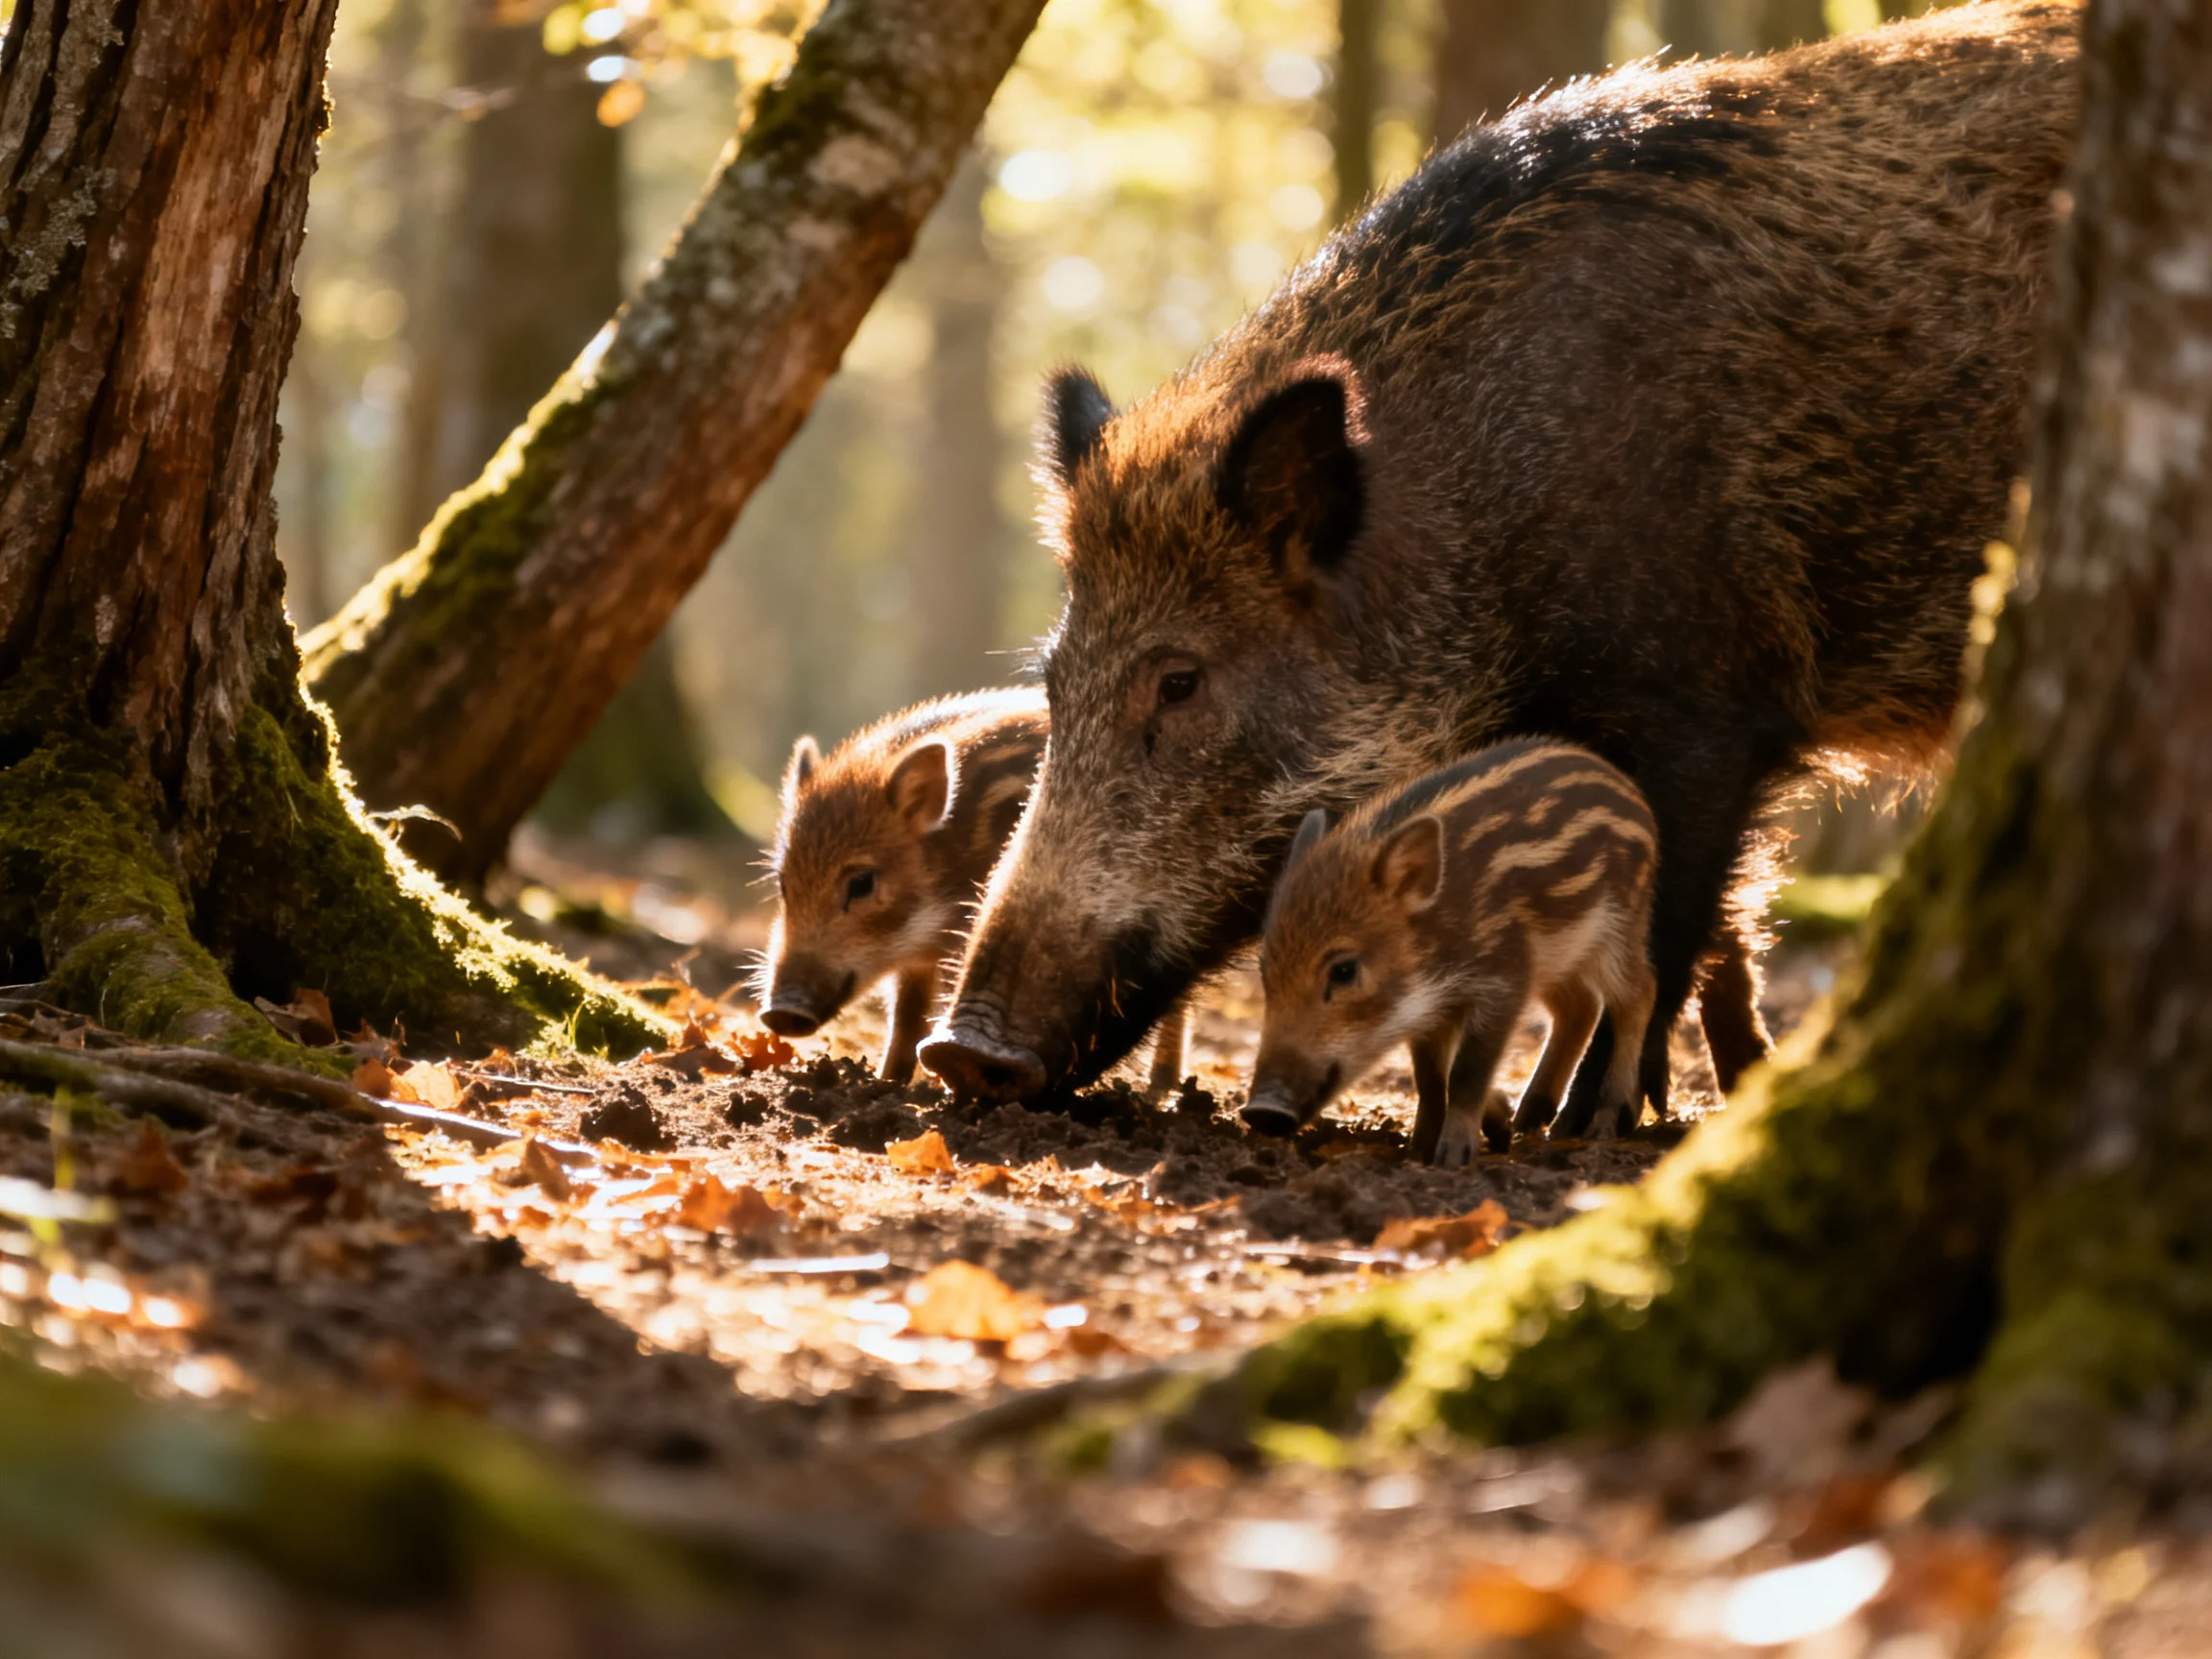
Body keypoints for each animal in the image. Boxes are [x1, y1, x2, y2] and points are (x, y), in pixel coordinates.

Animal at [759, 688, 1189, 1089]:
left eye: (862, 882)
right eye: (784, 884)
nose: (780, 1011)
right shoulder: (919, 960)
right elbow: (907, 1017)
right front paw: (887, 1082)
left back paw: (1163, 1088)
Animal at [920, 3, 2076, 1116]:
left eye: (1180, 679)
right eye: (1052, 682)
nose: (963, 1052)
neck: (1483, 519)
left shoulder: (1712, 708)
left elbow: (1672, 926)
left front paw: (1575, 1123)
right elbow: (1722, 939)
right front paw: (1718, 1093)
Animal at [1247, 741, 1659, 1165]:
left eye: (1344, 970)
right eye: (1265, 971)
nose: (1261, 1111)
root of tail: (1630, 791)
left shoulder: (1502, 979)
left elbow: (1467, 1070)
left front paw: (1452, 1157)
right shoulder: (1435, 1005)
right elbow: (1430, 1076)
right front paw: (1420, 1150)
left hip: (1621, 927)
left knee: (1638, 994)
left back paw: (1605, 1124)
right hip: (1561, 957)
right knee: (1580, 1006)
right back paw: (1528, 1118)